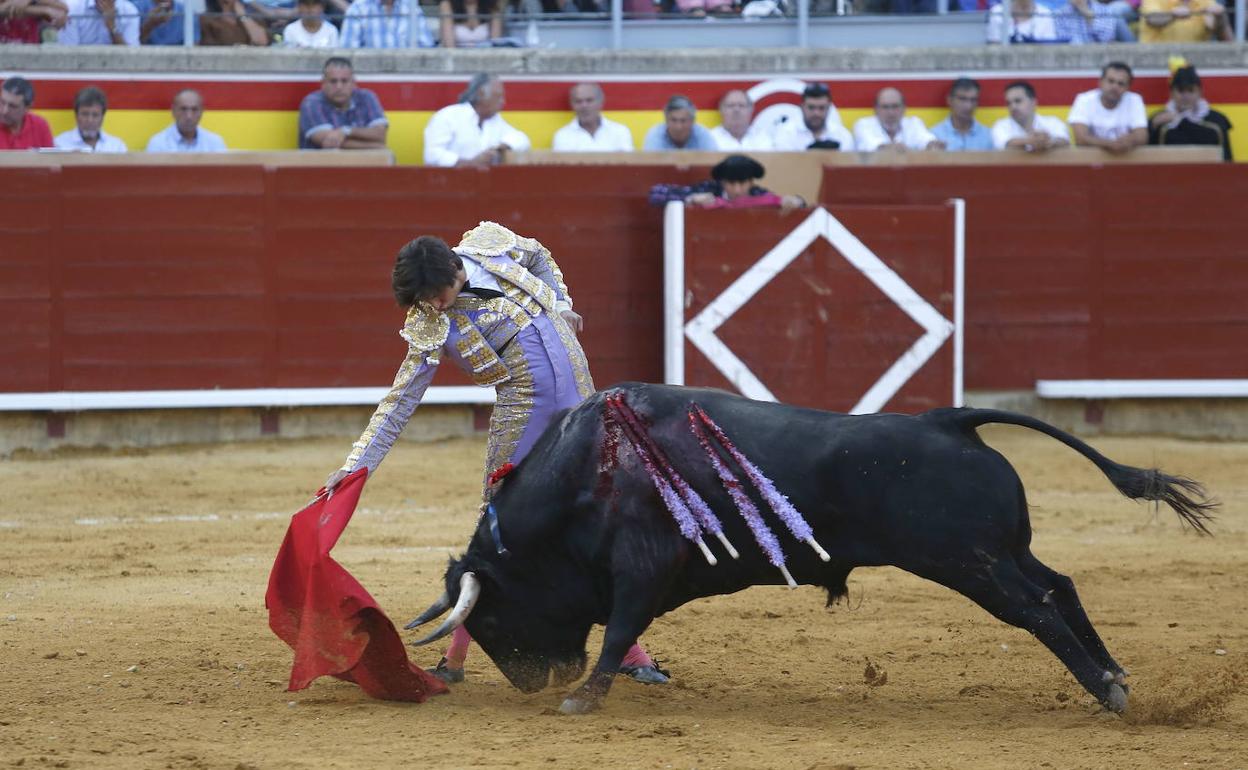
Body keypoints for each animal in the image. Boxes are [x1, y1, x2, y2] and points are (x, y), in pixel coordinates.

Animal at [411, 381, 1218, 713]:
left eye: (489, 619)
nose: (532, 684)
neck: (588, 469)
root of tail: (946, 420)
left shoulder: (641, 568)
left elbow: (617, 631)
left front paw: (583, 699)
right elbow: (619, 630)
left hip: (971, 563)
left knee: (1040, 607)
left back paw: (1108, 690)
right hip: (1003, 552)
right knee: (1063, 585)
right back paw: (1114, 674)